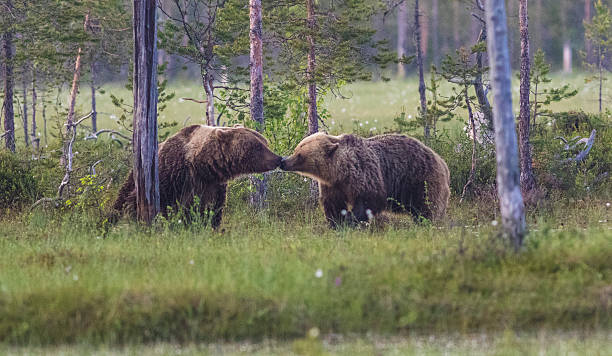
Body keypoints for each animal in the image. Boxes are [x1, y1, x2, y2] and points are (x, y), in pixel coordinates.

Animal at [113, 124, 280, 228]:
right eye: (258, 146)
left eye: (265, 142)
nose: (279, 159)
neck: (201, 165)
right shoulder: (172, 174)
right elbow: (140, 203)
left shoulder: (213, 185)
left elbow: (212, 210)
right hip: (135, 177)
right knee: (121, 200)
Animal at [280, 132, 450, 227]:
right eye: (296, 149)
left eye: (299, 155)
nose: (283, 161)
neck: (340, 171)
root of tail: (442, 162)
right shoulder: (333, 185)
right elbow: (333, 204)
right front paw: (337, 222)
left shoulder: (363, 173)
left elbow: (370, 200)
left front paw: (350, 219)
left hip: (420, 179)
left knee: (427, 205)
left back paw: (426, 222)